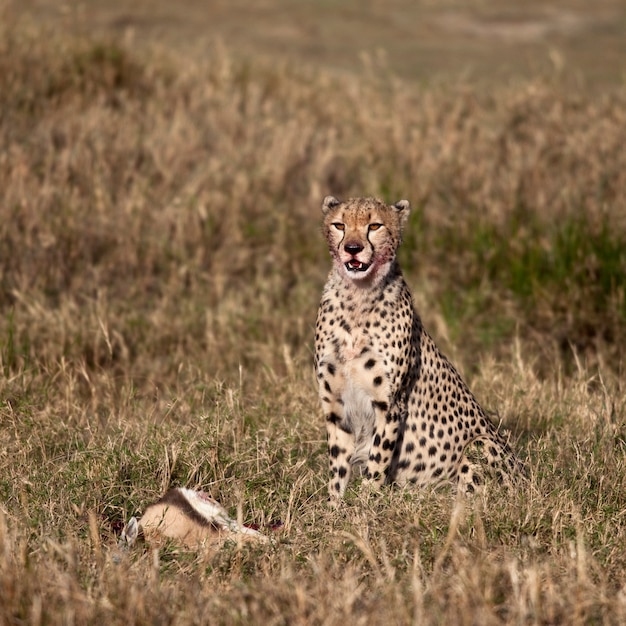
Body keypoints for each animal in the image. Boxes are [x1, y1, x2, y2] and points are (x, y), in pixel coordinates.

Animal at [312, 195, 520, 502]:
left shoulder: (389, 404)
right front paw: (334, 507)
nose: (353, 248)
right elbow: (338, 467)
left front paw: (364, 505)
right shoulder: (335, 405)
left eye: (374, 226)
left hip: (480, 445)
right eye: (340, 225)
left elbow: (377, 462)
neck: (358, 297)